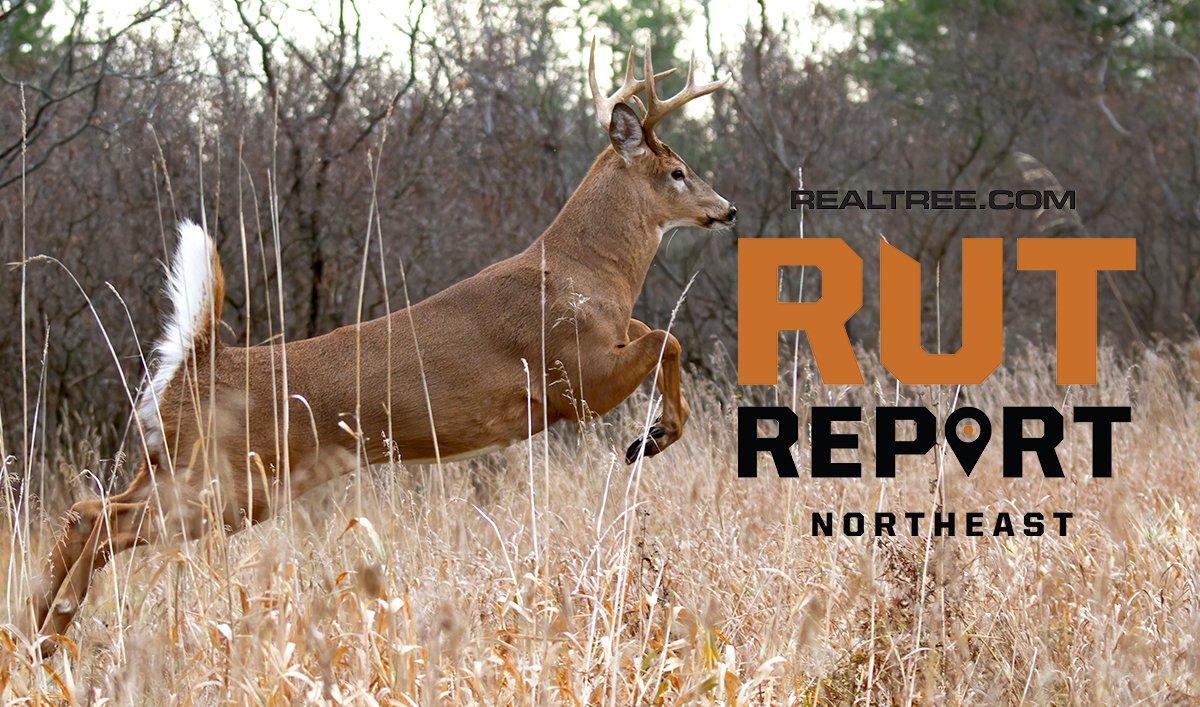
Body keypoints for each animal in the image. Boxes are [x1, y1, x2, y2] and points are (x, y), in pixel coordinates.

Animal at [29, 40, 736, 652]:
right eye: (677, 172)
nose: (726, 209)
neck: (587, 274)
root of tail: (197, 362)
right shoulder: (573, 379)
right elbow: (668, 339)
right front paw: (652, 437)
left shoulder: (603, 353)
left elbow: (654, 334)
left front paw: (653, 434)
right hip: (229, 480)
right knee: (105, 518)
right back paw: (55, 620)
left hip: (177, 462)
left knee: (84, 510)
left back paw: (38, 631)